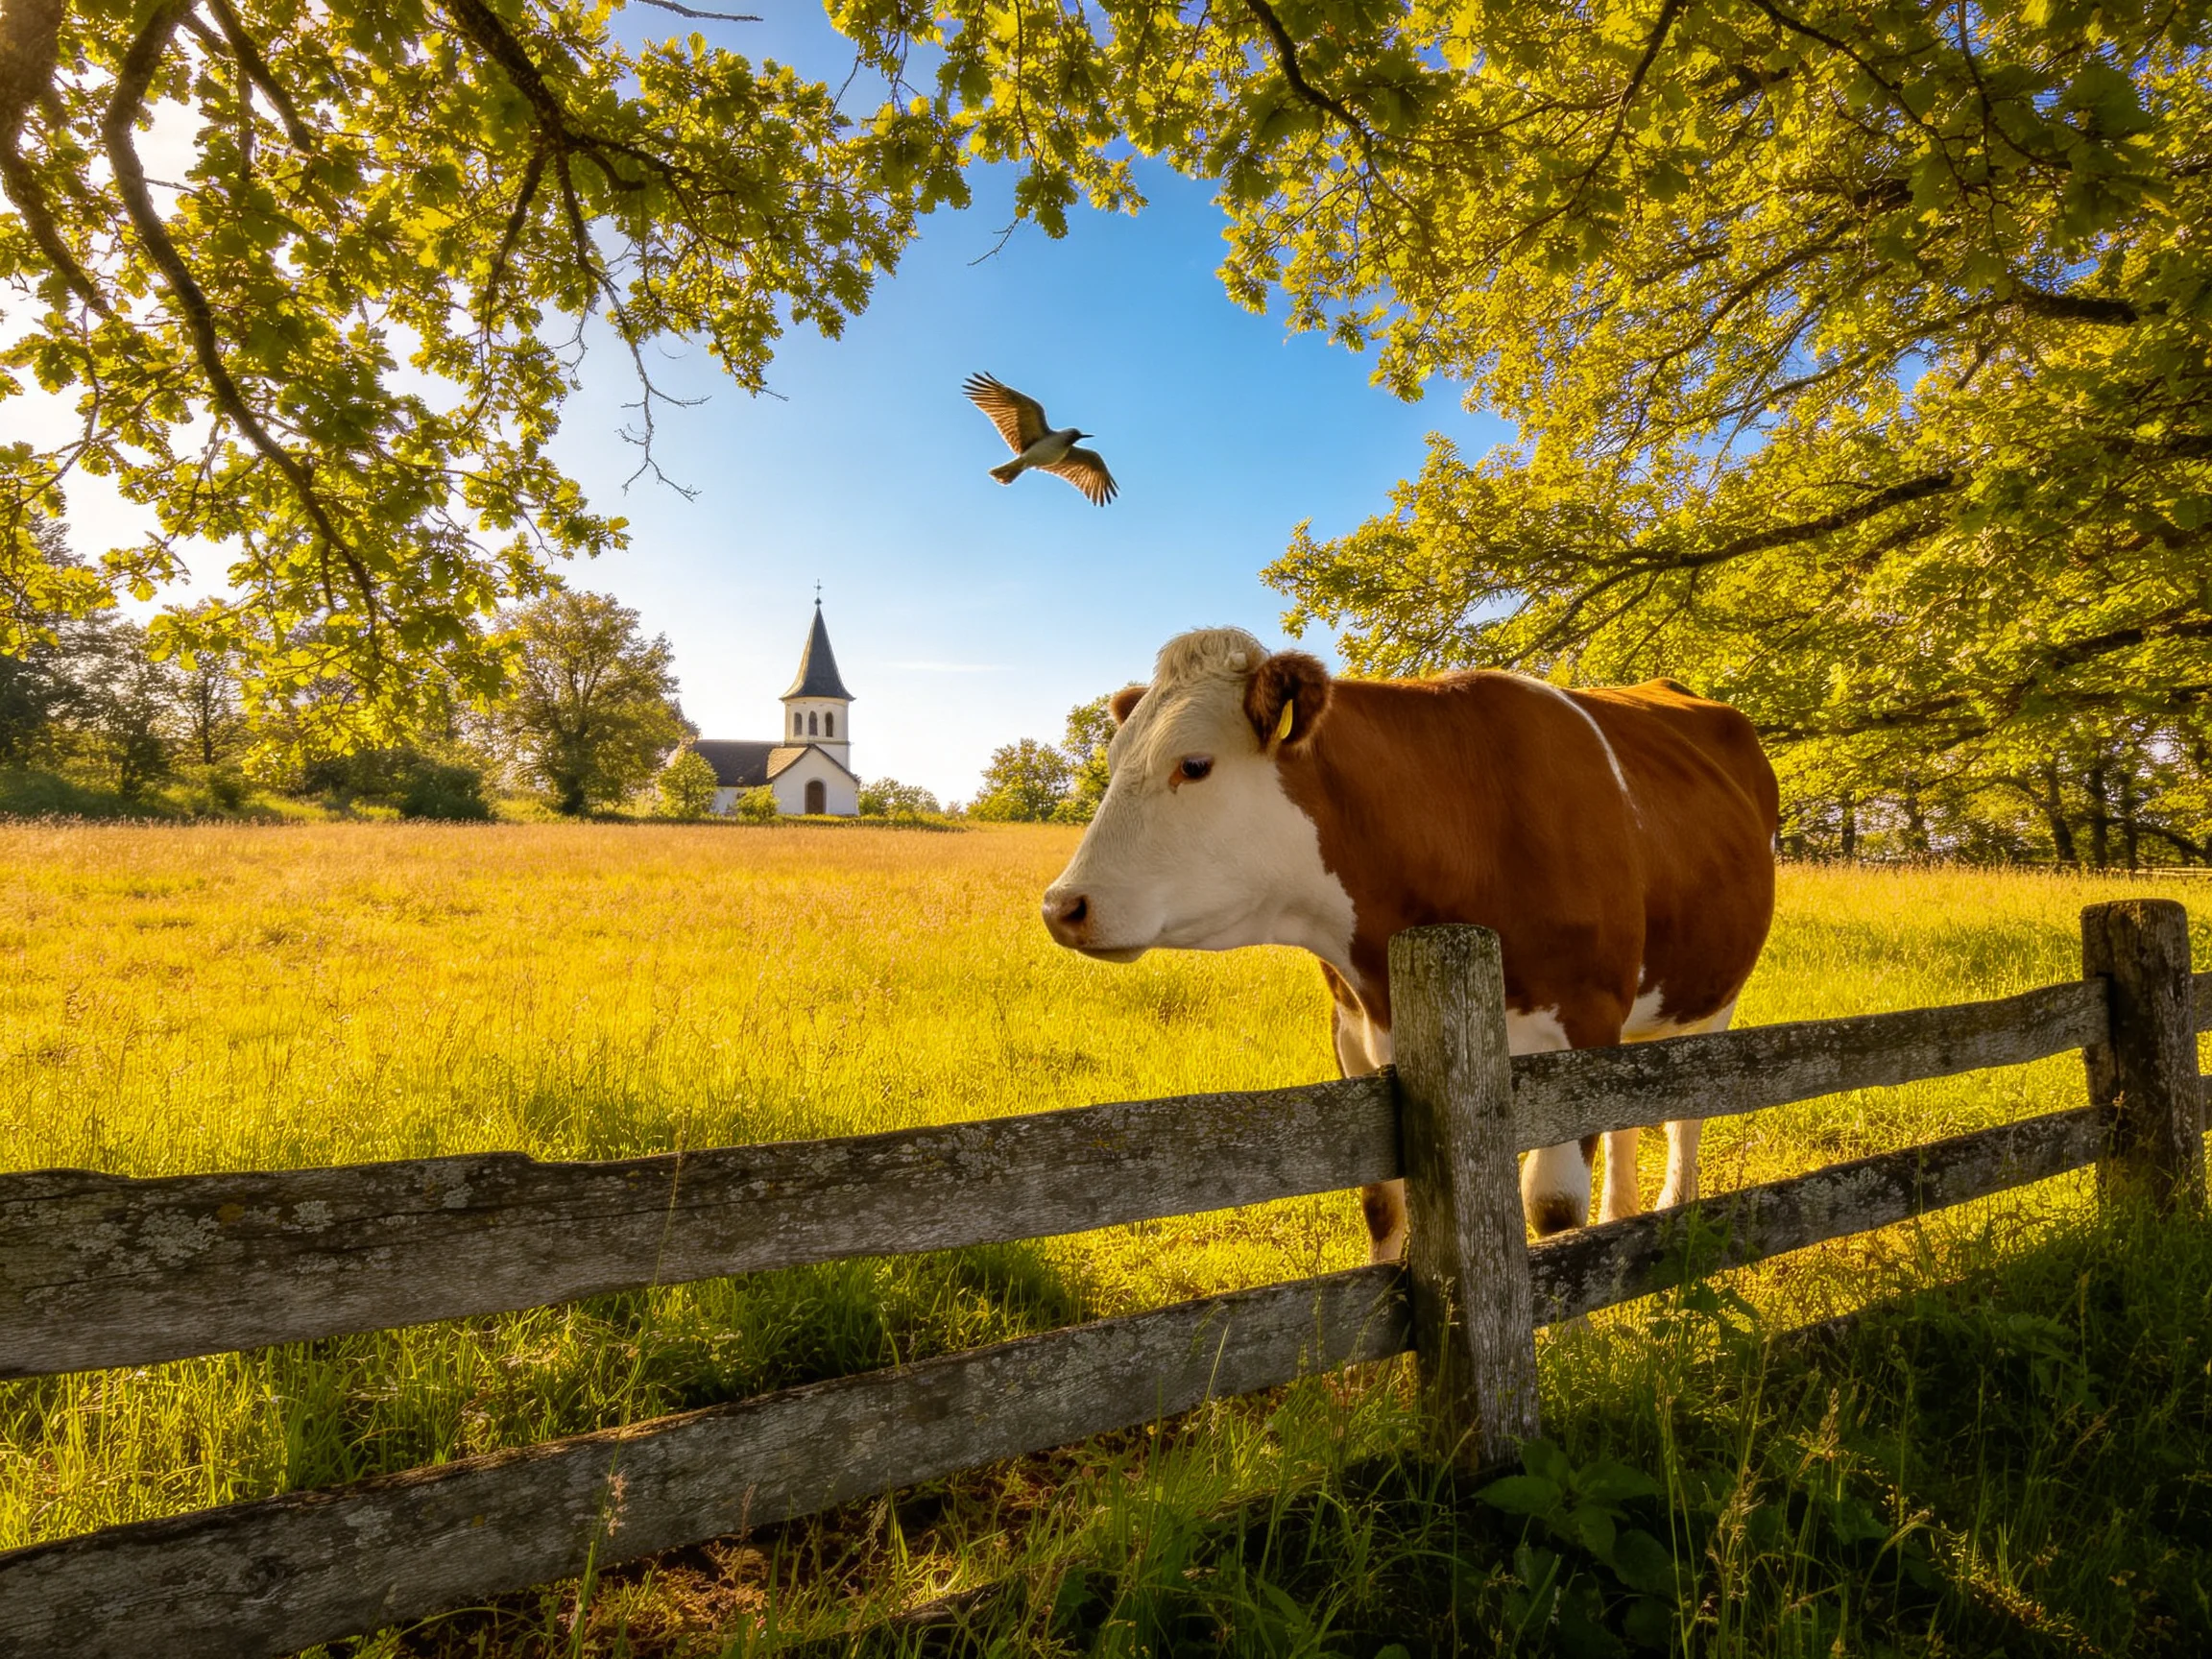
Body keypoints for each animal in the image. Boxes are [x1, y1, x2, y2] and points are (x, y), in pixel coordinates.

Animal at [1040, 627, 1779, 1260]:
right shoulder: (1353, 1029)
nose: (1062, 905)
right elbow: (1381, 1202)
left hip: (1715, 995)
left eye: (1194, 765)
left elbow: (1553, 1209)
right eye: (1114, 761)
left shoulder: (1586, 1018)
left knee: (1685, 1113)